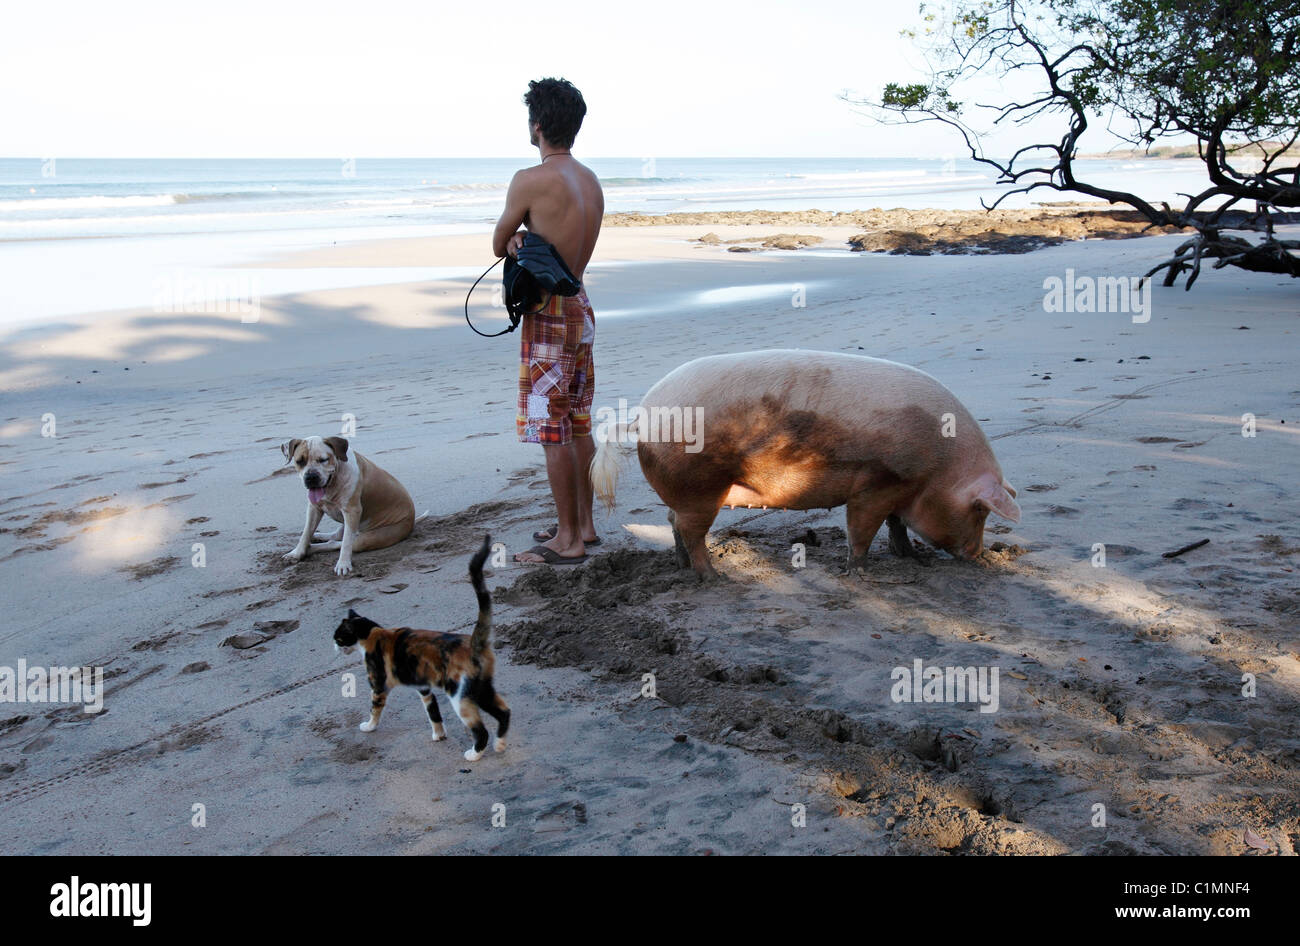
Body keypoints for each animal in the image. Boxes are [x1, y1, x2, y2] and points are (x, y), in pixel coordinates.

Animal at [282, 436, 418, 576]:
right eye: (299, 461)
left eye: (323, 460)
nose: (311, 476)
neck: (333, 482)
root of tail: (412, 520)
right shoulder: (314, 509)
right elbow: (306, 533)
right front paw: (296, 553)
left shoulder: (352, 511)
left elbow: (346, 543)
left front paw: (343, 564)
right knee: (335, 536)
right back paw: (317, 537)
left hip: (368, 538)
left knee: (339, 543)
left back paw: (312, 548)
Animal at [332, 535, 509, 764]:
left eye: (338, 637)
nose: (334, 646)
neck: (373, 633)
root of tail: (473, 643)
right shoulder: (424, 688)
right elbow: (433, 713)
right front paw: (439, 735)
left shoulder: (378, 686)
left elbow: (374, 709)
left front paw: (368, 727)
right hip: (481, 689)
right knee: (504, 712)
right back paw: (500, 744)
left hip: (460, 695)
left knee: (481, 729)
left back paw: (474, 754)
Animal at [592, 348, 1024, 576]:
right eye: (981, 511)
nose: (979, 555)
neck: (939, 470)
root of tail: (643, 415)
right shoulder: (876, 483)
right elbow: (862, 529)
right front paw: (859, 572)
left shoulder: (898, 488)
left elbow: (897, 524)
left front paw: (911, 557)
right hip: (699, 489)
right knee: (689, 530)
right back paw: (715, 577)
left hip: (686, 493)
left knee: (672, 522)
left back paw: (686, 569)